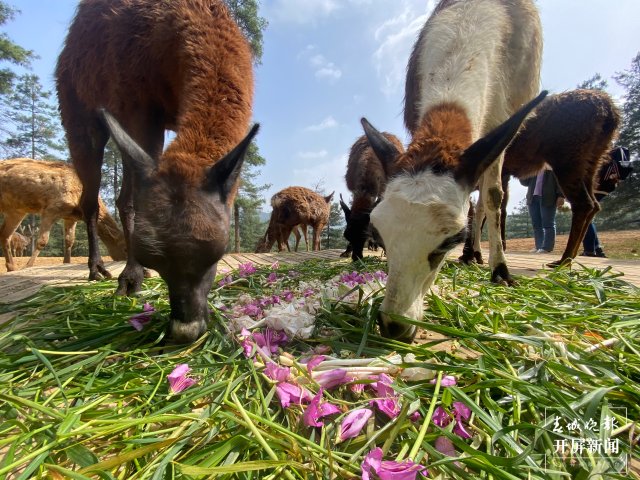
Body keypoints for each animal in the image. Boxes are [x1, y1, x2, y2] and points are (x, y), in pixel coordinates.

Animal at [53, 0, 256, 344]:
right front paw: (131, 276)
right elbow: (133, 199)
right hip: (78, 114)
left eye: (217, 254)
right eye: (154, 257)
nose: (186, 330)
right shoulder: (135, 105)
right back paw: (98, 268)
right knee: (92, 200)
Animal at [358, 0, 544, 344]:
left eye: (451, 240)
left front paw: (501, 271)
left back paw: (481, 259)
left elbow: (493, 195)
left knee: (483, 201)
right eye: (378, 234)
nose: (394, 325)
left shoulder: (501, 122)